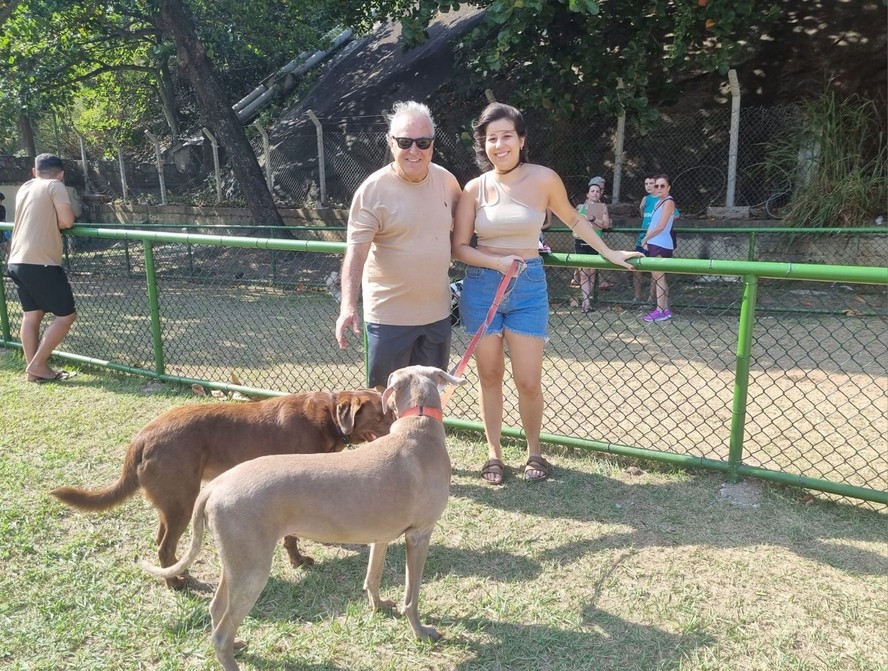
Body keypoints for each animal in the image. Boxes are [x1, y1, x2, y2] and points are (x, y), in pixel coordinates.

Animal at [52, 388, 392, 584]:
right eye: (381, 417)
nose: (399, 427)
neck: (328, 418)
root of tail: (142, 436)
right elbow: (292, 536)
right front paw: (298, 561)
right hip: (183, 501)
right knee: (164, 547)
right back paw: (176, 584)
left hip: (171, 503)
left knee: (162, 541)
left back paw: (179, 573)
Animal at [142, 368, 462, 671]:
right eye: (382, 415)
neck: (417, 429)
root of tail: (213, 488)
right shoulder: (419, 534)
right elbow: (412, 596)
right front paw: (421, 631)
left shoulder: (381, 535)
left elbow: (373, 576)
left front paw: (379, 605)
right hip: (253, 570)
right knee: (221, 633)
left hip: (237, 561)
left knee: (216, 608)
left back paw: (237, 644)